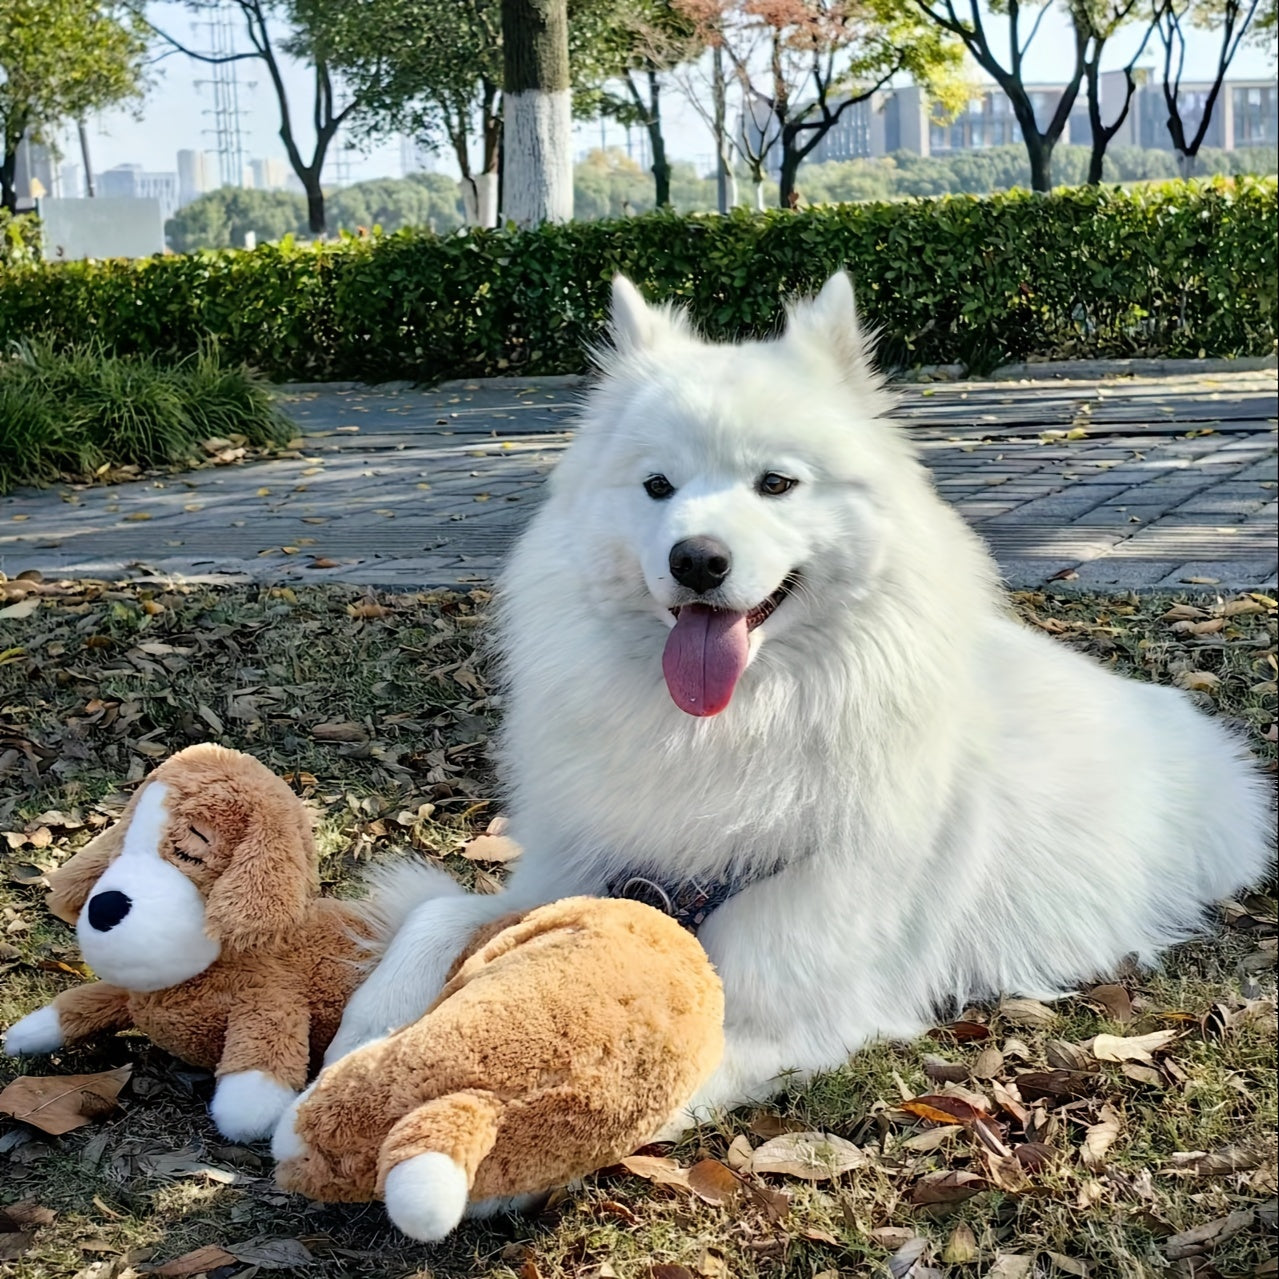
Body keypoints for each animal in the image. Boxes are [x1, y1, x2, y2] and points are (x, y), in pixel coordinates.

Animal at [327, 272, 1268, 1130]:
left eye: (775, 484)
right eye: (658, 486)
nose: (696, 560)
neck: (729, 728)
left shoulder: (780, 1009)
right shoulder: (578, 868)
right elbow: (437, 911)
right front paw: (360, 1037)